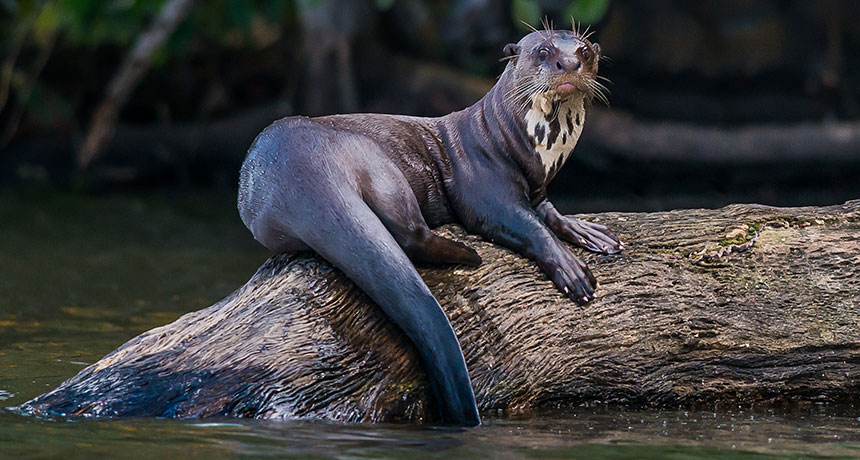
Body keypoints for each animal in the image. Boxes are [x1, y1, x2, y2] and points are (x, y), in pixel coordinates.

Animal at [237, 26, 621, 426]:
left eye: (584, 51)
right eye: (543, 52)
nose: (569, 64)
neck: (519, 144)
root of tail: (297, 168)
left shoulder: (538, 188)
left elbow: (549, 212)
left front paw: (589, 232)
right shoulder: (484, 188)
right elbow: (524, 224)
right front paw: (570, 269)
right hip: (375, 161)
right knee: (409, 234)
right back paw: (468, 255)